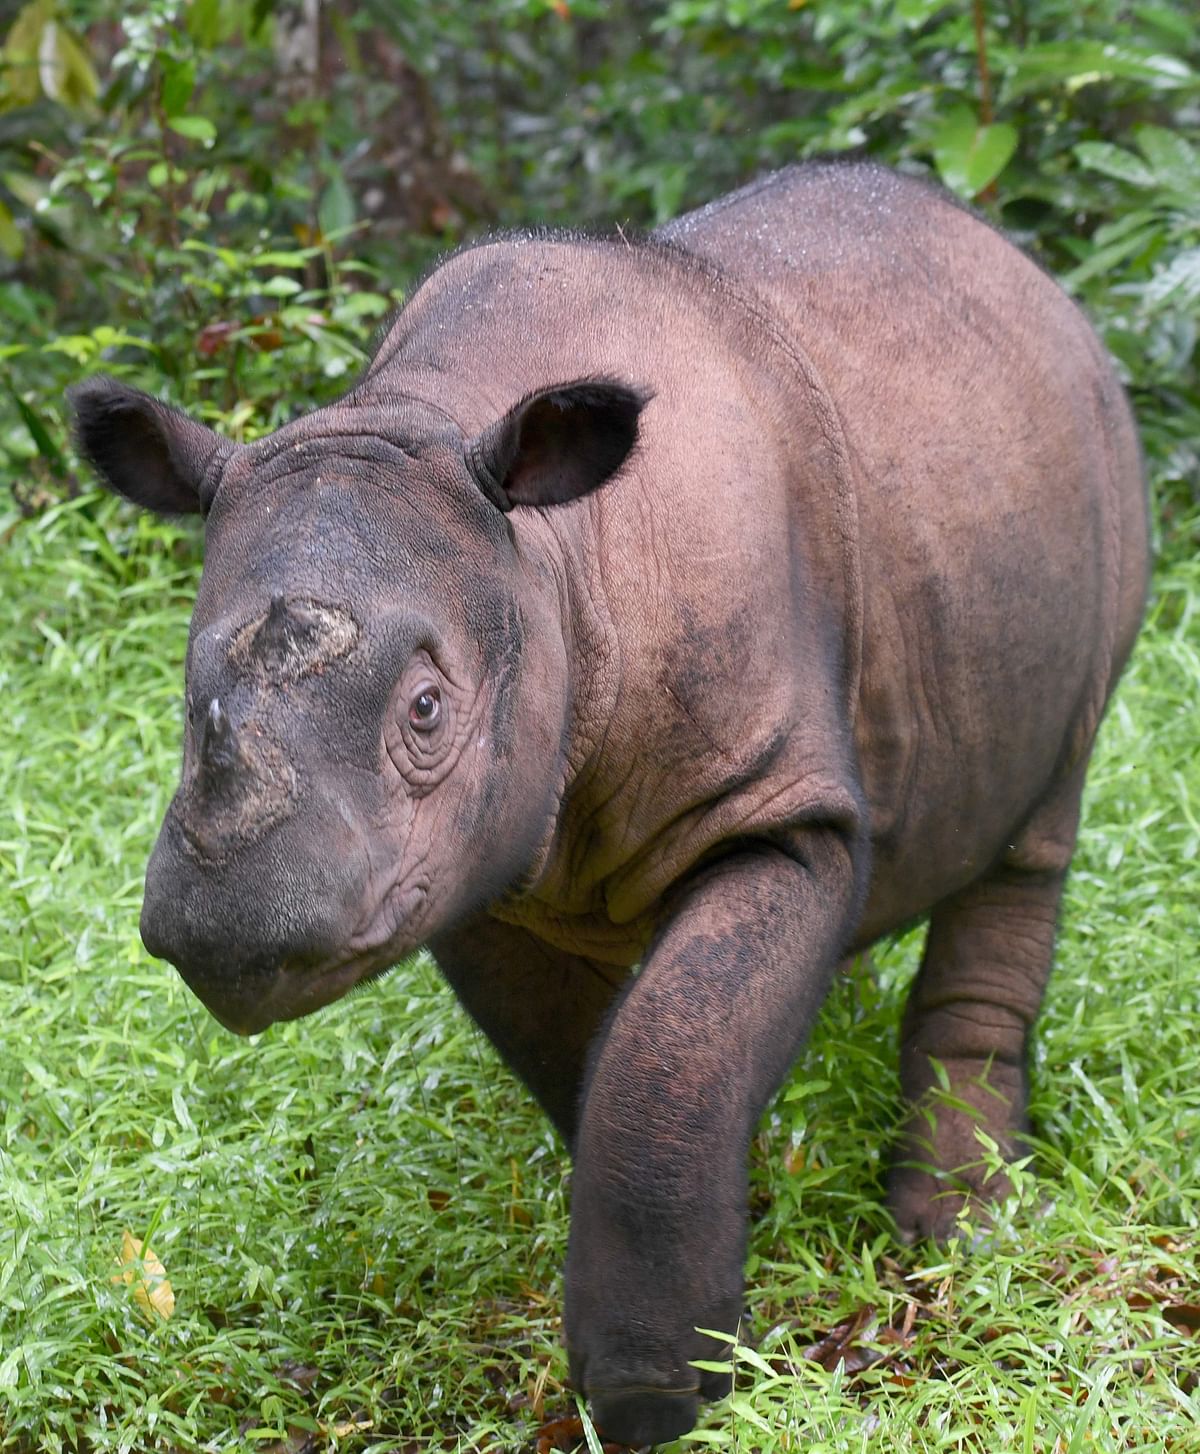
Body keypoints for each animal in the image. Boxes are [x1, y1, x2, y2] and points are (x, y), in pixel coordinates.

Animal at [72, 165, 1140, 1448]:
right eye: (188, 702)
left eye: (427, 708)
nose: (228, 930)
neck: (543, 555)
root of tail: (1022, 269)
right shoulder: (469, 865)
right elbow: (600, 1064)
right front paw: (725, 1244)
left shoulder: (775, 804)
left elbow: (671, 1044)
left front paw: (657, 1395)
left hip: (1098, 476)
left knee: (1036, 831)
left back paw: (961, 1229)